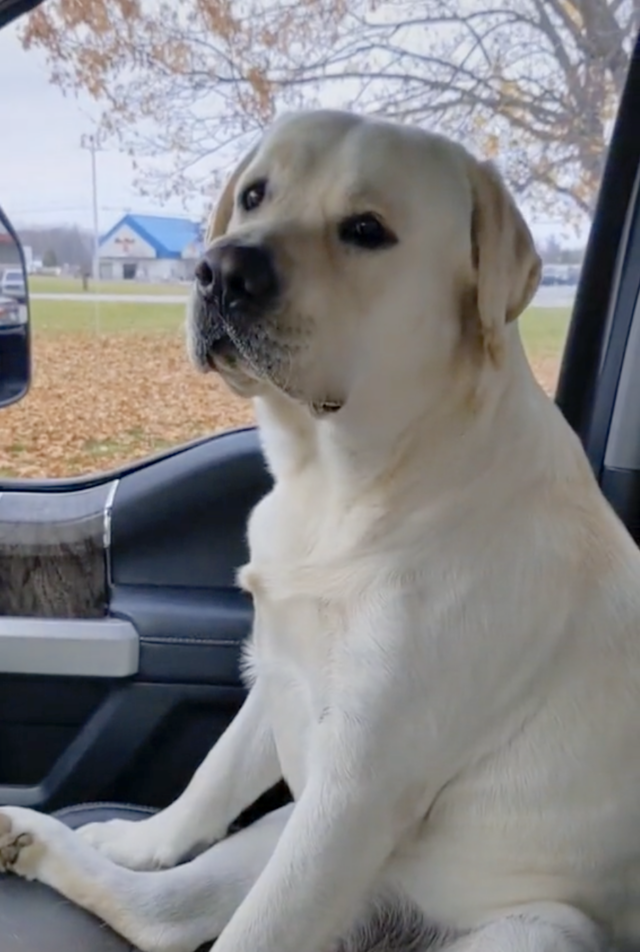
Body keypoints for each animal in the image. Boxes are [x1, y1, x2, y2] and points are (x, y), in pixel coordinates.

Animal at [3, 108, 640, 952]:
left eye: (367, 229)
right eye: (254, 195)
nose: (221, 271)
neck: (345, 483)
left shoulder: (362, 783)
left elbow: (256, 933)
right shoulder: (279, 664)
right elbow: (212, 775)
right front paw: (145, 837)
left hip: (534, 929)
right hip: (281, 833)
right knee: (164, 914)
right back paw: (49, 841)